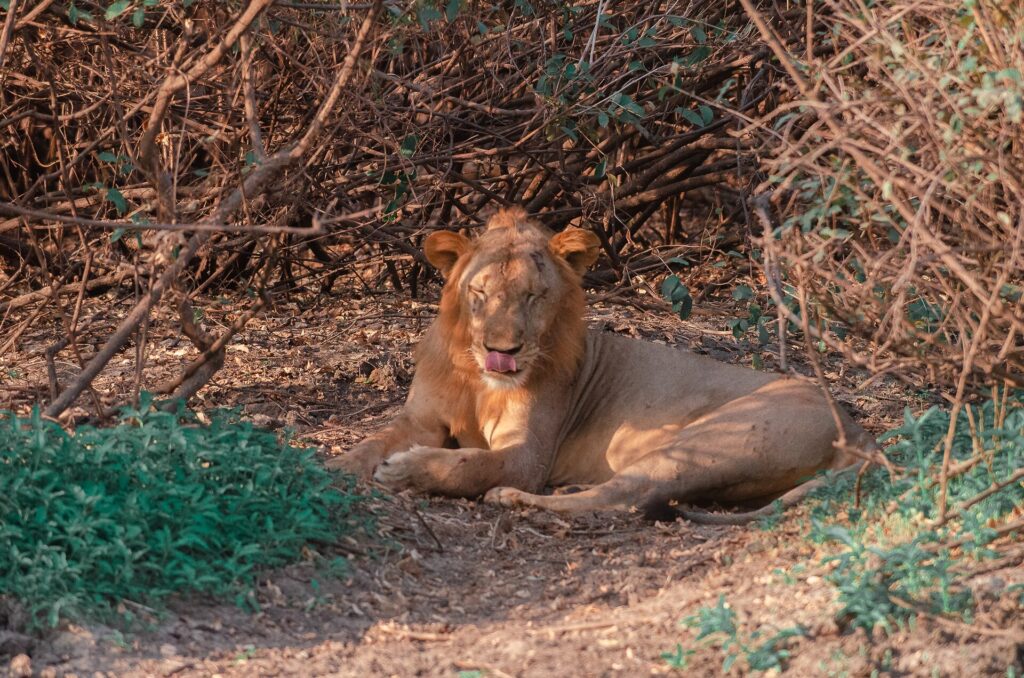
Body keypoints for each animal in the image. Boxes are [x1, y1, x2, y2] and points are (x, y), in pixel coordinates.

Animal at [328, 207, 874, 523]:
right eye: (478, 293)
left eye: (534, 296)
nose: (503, 351)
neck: (475, 379)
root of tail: (859, 430)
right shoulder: (421, 417)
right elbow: (370, 442)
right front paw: (331, 466)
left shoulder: (527, 454)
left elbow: (472, 464)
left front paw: (405, 469)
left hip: (708, 441)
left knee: (629, 496)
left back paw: (514, 500)